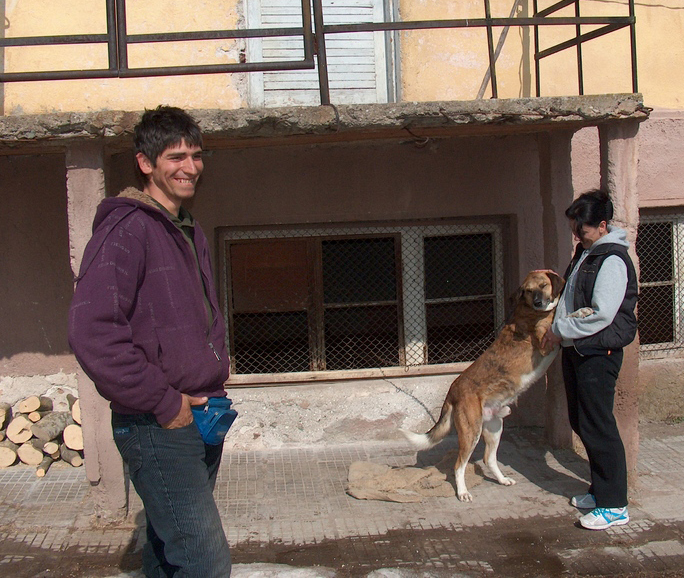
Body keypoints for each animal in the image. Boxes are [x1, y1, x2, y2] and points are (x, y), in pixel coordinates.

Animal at [400, 270, 568, 500]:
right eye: (529, 290)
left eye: (543, 285)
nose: (538, 302)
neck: (530, 311)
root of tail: (452, 391)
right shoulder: (546, 343)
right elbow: (562, 319)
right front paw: (582, 311)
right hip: (471, 432)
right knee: (458, 465)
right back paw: (463, 492)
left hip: (494, 426)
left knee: (489, 458)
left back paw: (502, 479)